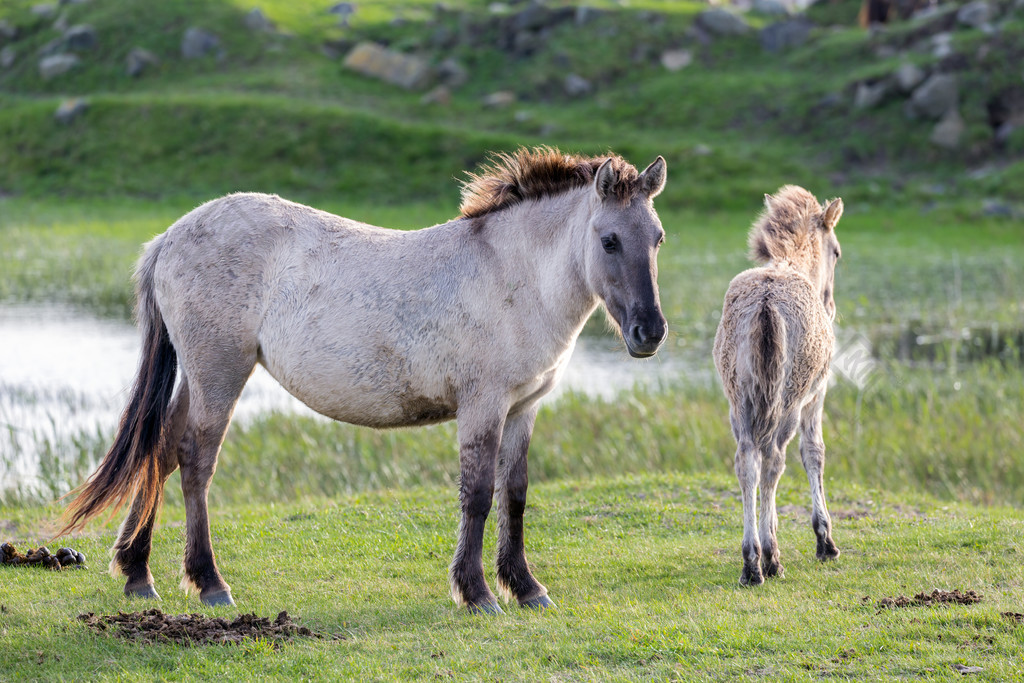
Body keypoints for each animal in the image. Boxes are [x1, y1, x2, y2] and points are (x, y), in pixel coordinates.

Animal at [64, 145, 671, 614]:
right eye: (610, 240)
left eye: (658, 238)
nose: (650, 332)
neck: (512, 274)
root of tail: (169, 236)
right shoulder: (484, 406)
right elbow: (477, 494)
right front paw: (476, 593)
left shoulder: (524, 407)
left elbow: (515, 494)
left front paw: (525, 587)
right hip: (220, 372)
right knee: (194, 459)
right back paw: (210, 583)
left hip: (199, 375)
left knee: (161, 449)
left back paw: (138, 575)